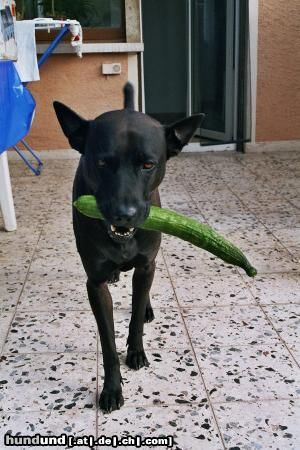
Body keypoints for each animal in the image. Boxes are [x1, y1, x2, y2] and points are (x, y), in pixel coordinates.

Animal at [53, 82, 204, 414]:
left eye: (148, 164)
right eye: (101, 163)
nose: (124, 214)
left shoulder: (146, 264)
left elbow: (134, 318)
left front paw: (135, 351)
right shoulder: (94, 284)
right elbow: (107, 341)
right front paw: (111, 388)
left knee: (143, 289)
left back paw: (145, 305)